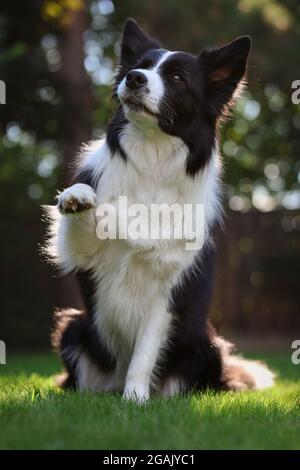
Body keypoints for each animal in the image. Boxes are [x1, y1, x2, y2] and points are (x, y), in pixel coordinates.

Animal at [46, 17, 274, 400]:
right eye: (140, 66)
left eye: (178, 77)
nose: (134, 78)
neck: (153, 154)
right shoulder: (84, 254)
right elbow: (81, 221)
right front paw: (77, 196)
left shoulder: (168, 290)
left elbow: (145, 352)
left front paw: (136, 400)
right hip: (74, 326)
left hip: (206, 345)